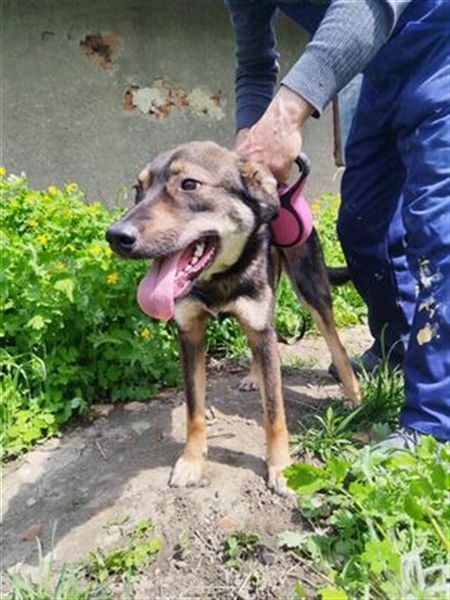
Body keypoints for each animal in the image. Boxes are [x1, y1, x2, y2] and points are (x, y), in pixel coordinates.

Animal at [106, 141, 360, 496]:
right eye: (137, 190)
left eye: (189, 184)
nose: (115, 236)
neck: (218, 279)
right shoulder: (190, 334)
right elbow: (194, 409)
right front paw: (191, 461)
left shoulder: (261, 323)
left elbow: (274, 412)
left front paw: (281, 468)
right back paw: (254, 376)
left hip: (310, 288)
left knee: (334, 342)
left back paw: (355, 396)